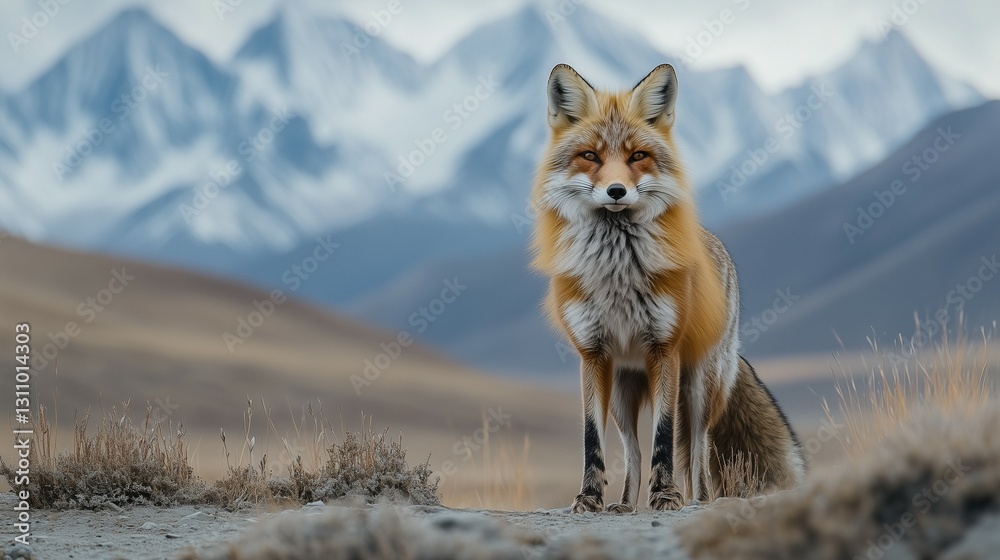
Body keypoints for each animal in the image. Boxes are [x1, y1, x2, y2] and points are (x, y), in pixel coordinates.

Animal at [530, 63, 806, 513]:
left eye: (637, 156)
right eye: (590, 156)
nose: (617, 191)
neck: (617, 272)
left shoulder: (665, 350)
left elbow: (664, 435)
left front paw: (666, 495)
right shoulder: (592, 355)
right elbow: (593, 439)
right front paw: (589, 497)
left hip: (698, 388)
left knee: (698, 451)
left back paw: (698, 500)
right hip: (623, 391)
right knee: (632, 449)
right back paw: (625, 504)